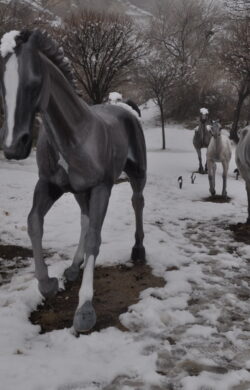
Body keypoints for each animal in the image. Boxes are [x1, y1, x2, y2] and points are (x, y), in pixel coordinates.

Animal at [0, 29, 146, 332]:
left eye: (34, 81)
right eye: (1, 84)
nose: (13, 146)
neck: (75, 133)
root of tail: (124, 107)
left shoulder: (102, 187)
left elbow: (94, 239)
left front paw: (85, 309)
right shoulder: (49, 185)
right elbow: (34, 222)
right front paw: (48, 284)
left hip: (137, 174)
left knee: (137, 202)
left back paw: (138, 250)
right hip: (80, 191)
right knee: (85, 218)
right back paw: (73, 267)